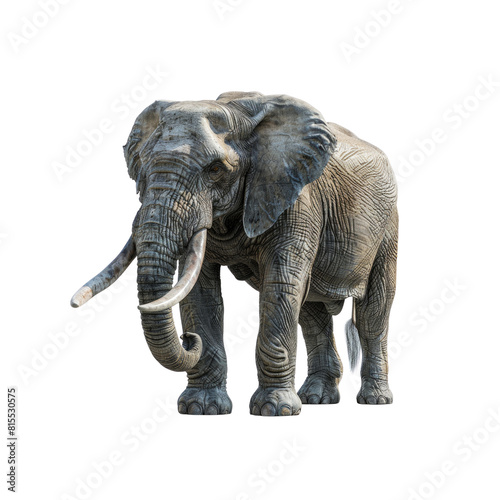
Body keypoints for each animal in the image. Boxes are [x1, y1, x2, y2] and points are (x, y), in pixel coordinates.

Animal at [70, 92, 398, 416]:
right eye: (144, 167)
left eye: (215, 170)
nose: (188, 339)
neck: (238, 113)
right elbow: (199, 292)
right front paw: (200, 407)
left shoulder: (296, 198)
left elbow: (280, 285)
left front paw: (274, 409)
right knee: (311, 313)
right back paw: (317, 398)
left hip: (388, 225)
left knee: (372, 313)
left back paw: (374, 400)